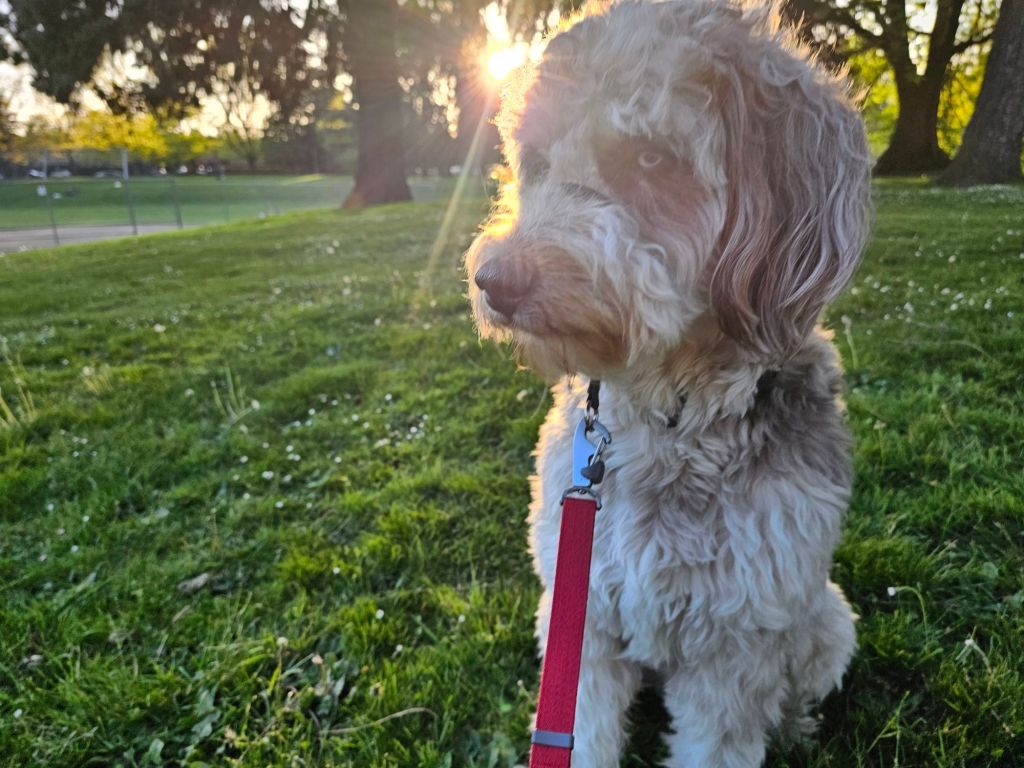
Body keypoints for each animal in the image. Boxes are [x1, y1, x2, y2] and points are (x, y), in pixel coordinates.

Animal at [465, 1, 871, 766]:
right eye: (536, 163)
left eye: (651, 158)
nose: (493, 280)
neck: (667, 419)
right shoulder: (582, 615)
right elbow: (583, 731)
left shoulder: (736, 642)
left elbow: (721, 738)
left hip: (826, 615)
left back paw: (797, 727)